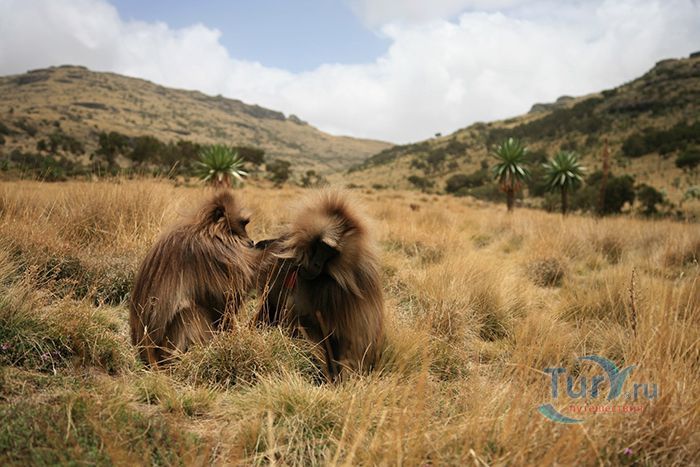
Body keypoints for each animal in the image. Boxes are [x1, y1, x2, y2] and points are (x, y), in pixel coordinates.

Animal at [130, 190, 257, 367]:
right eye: (242, 225)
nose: (251, 242)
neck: (207, 230)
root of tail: (147, 356)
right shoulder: (208, 252)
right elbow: (226, 299)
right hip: (166, 347)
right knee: (188, 311)